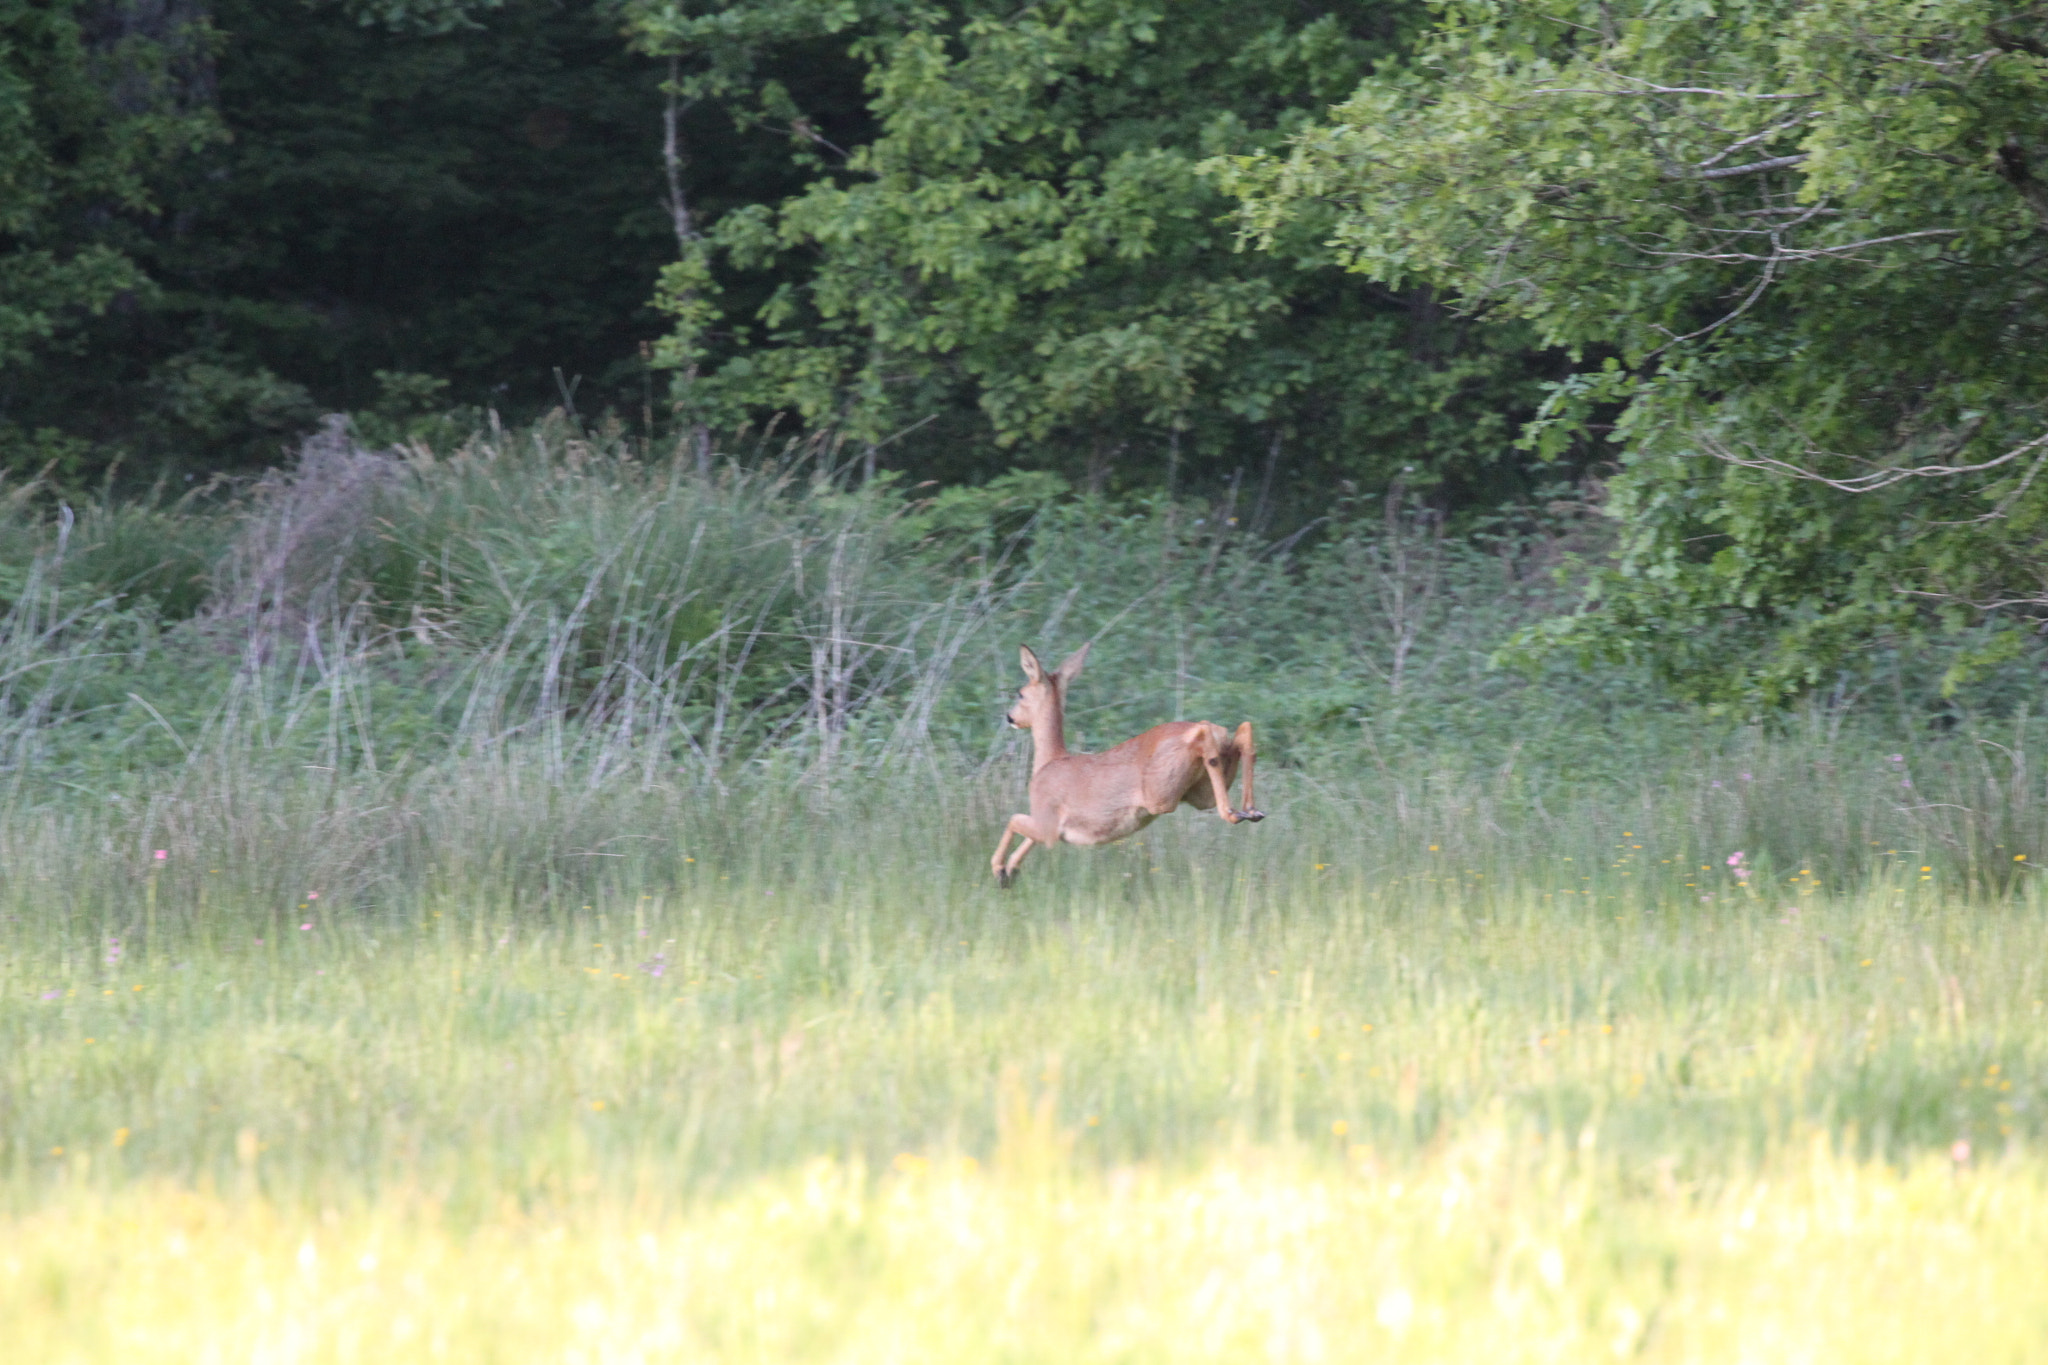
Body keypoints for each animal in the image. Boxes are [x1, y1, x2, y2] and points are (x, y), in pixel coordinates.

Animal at [995, 646, 1261, 892]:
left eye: (1020, 694)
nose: (1009, 717)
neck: (1048, 762)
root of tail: (1215, 732)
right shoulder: (1047, 826)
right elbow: (1025, 837)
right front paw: (1010, 872)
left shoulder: (1048, 821)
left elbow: (1013, 819)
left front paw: (999, 869)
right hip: (1197, 792)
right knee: (1243, 731)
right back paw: (1250, 811)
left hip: (1161, 792)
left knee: (1207, 733)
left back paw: (1234, 812)